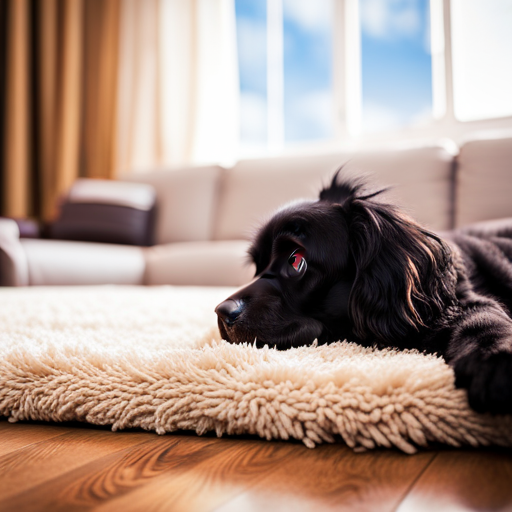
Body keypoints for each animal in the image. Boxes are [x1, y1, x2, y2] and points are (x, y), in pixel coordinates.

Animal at [215, 174, 512, 414]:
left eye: (296, 260)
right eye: (257, 266)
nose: (221, 311)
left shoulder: (467, 302)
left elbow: (484, 323)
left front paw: (496, 360)